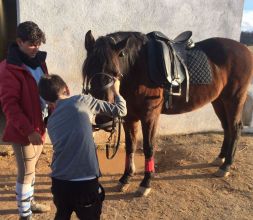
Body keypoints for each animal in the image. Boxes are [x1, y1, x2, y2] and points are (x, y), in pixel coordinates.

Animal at [82, 29, 253, 196]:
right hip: (218, 100)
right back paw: (220, 159)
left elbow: (148, 147)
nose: (104, 118)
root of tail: (245, 49)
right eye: (88, 70)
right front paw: (125, 179)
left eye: (115, 72)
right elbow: (130, 146)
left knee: (235, 128)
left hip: (234, 98)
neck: (138, 68)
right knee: (226, 128)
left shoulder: (150, 116)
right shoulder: (130, 117)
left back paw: (226, 166)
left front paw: (145, 183)